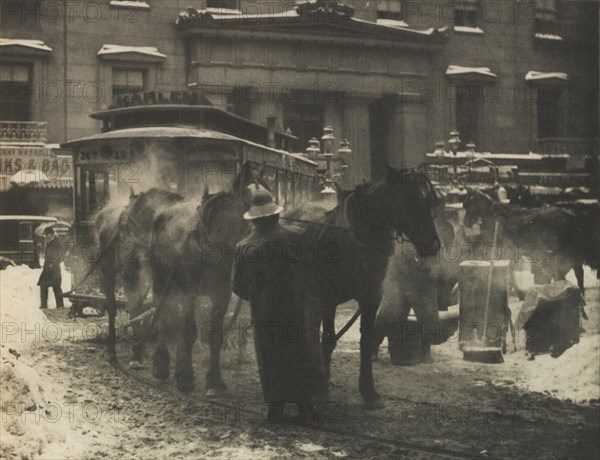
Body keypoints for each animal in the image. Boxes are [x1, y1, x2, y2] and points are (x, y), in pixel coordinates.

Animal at [94, 187, 182, 362]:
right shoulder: (131, 274)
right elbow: (135, 306)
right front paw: (136, 355)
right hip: (106, 269)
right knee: (112, 305)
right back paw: (111, 349)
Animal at [148, 165, 262, 396]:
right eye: (254, 199)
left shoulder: (221, 294)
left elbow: (214, 335)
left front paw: (214, 381)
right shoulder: (189, 293)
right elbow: (189, 331)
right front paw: (185, 377)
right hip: (161, 278)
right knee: (163, 313)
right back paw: (161, 363)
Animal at [284, 166, 438, 410]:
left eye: (430, 201)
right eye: (409, 200)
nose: (433, 245)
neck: (358, 240)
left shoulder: (371, 298)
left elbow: (366, 341)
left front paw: (369, 392)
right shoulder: (328, 299)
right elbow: (329, 339)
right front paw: (322, 389)